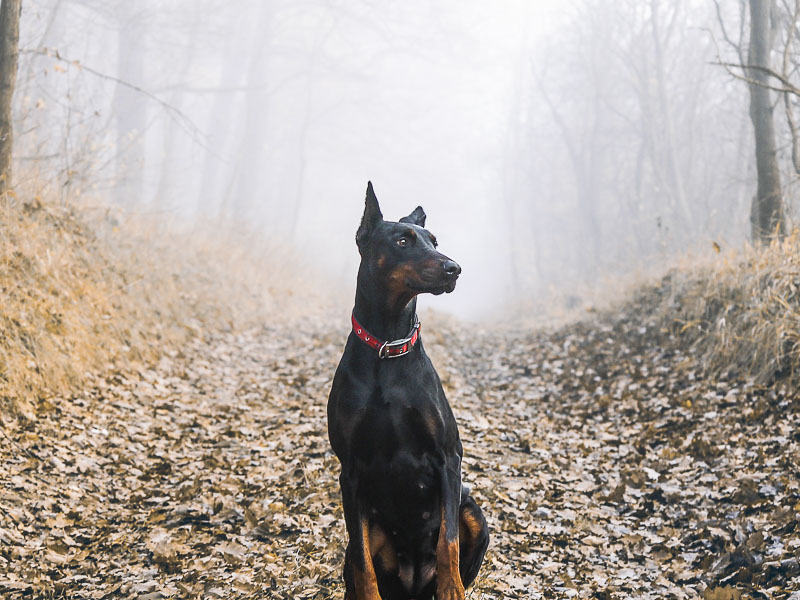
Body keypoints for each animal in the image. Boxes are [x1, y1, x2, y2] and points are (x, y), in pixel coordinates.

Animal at [324, 183, 488, 600]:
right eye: (402, 241)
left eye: (434, 241)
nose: (454, 268)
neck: (389, 344)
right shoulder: (350, 471)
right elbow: (363, 562)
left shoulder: (448, 457)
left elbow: (447, 542)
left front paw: (452, 589)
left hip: (473, 511)